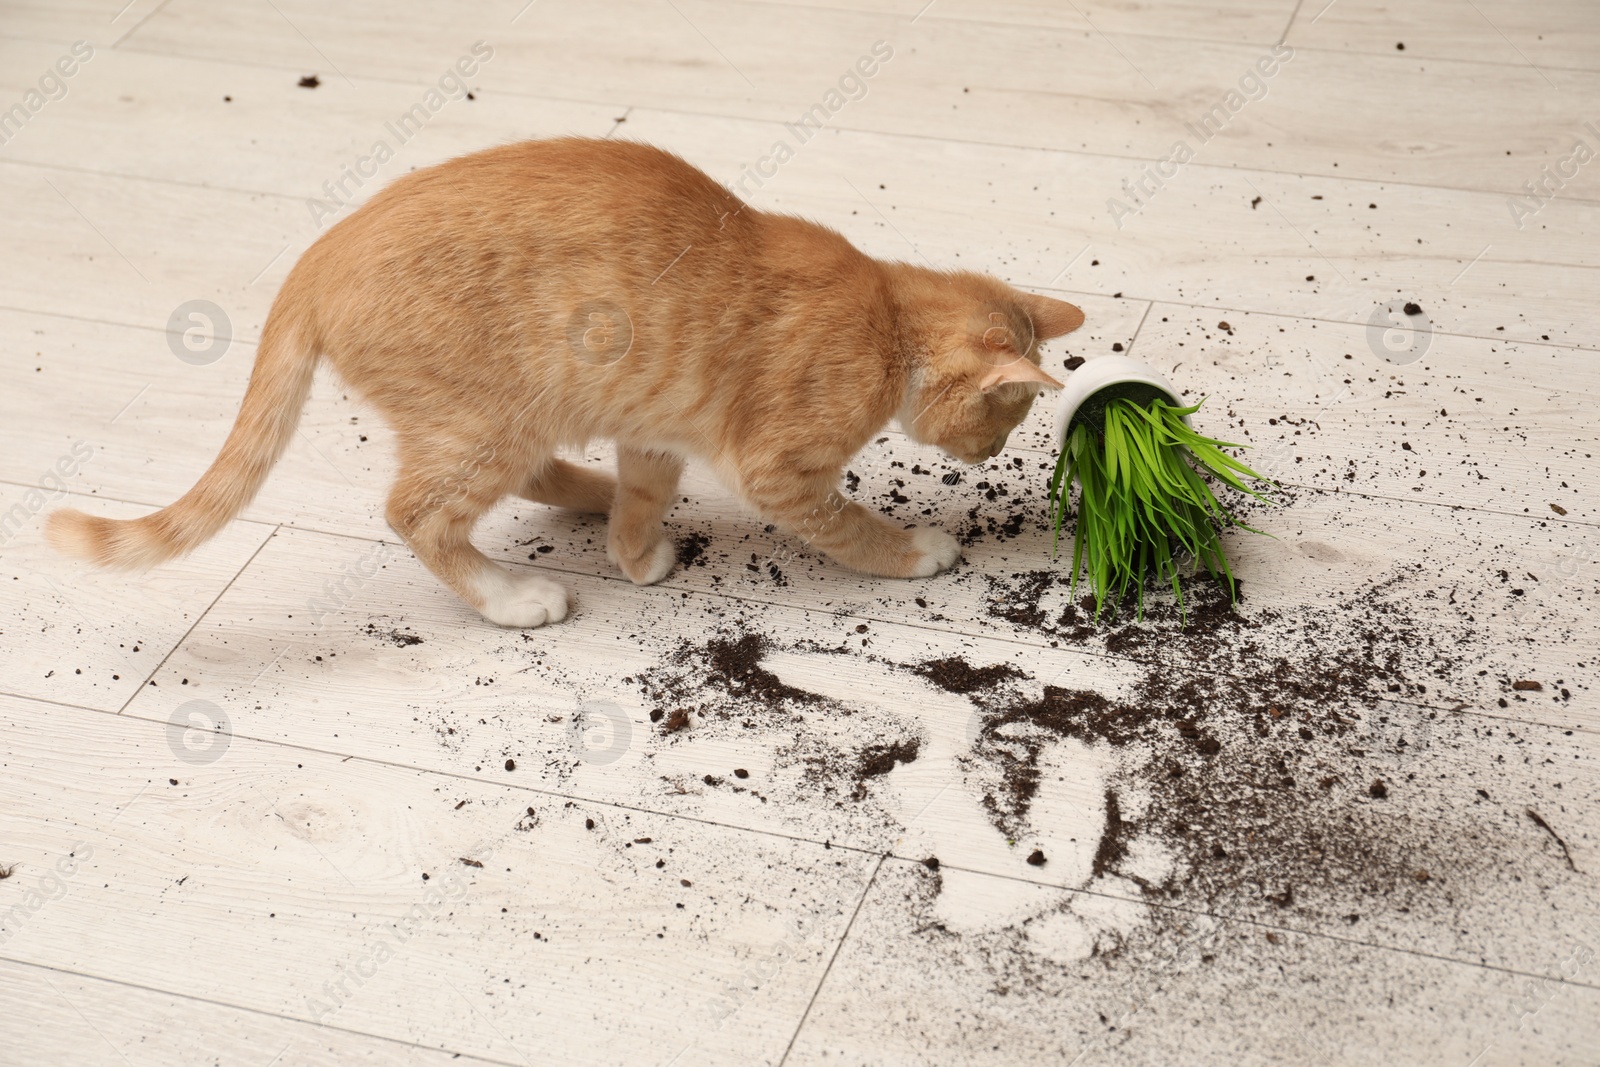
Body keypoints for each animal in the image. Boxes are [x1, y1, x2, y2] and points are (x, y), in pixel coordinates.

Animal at [43, 139, 1081, 630]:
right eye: (1009, 415)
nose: (989, 451)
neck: (885, 313)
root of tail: (320, 253)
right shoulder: (778, 465)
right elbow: (848, 525)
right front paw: (914, 551)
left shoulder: (663, 420)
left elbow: (650, 487)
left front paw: (635, 551)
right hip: (487, 419)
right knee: (418, 512)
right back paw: (511, 598)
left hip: (524, 408)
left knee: (534, 474)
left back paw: (590, 495)